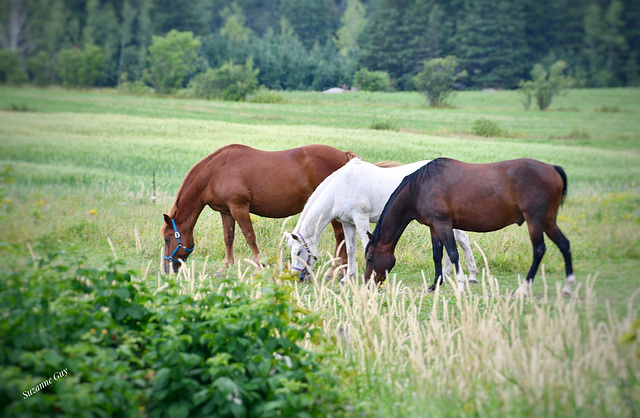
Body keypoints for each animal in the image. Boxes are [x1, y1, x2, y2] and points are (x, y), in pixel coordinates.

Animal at [162, 144, 358, 274]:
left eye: (167, 239)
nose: (166, 268)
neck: (216, 172)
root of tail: (343, 156)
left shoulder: (239, 207)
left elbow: (250, 236)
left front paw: (259, 264)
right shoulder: (226, 211)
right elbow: (228, 237)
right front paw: (227, 265)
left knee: (340, 237)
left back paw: (336, 269)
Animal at [282, 158, 478, 282]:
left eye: (299, 252)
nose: (297, 277)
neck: (341, 187)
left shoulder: (361, 218)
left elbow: (363, 246)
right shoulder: (348, 222)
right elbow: (351, 249)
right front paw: (348, 278)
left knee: (462, 240)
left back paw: (471, 276)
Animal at [364, 158, 576, 298]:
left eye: (370, 257)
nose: (367, 285)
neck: (419, 188)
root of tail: (553, 169)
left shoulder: (443, 224)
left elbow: (453, 253)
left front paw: (460, 286)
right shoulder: (434, 226)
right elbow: (437, 254)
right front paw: (434, 285)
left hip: (535, 221)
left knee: (539, 250)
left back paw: (522, 289)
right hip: (548, 221)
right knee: (565, 245)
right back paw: (567, 287)